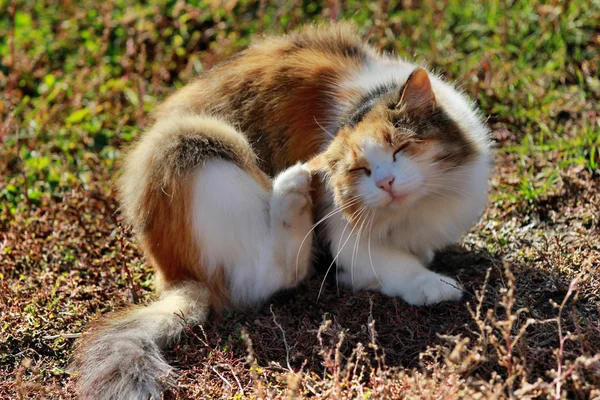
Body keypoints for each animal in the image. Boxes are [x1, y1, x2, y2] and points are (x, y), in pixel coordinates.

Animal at [72, 24, 492, 400]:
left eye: (400, 149)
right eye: (361, 170)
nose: (386, 182)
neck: (417, 211)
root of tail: (175, 277)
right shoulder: (346, 236)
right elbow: (392, 265)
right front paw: (433, 285)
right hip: (193, 141)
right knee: (266, 278)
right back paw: (292, 191)